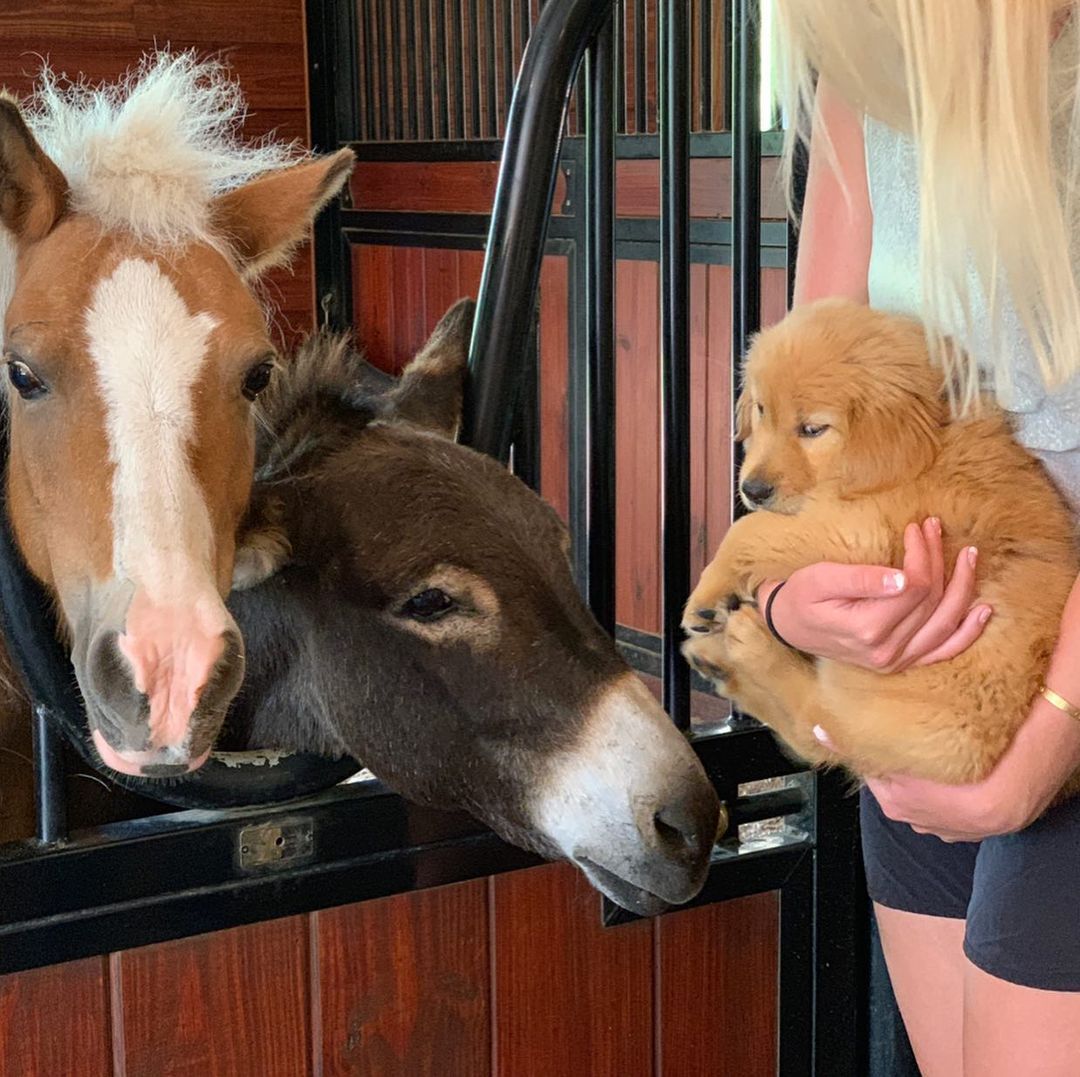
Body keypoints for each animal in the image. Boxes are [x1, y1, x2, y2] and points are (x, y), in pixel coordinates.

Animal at [682, 298, 1080, 786]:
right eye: (761, 410)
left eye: (813, 430)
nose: (752, 490)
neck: (928, 446)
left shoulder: (864, 530)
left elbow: (754, 530)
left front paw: (706, 595)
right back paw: (716, 659)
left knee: (815, 724)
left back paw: (750, 646)